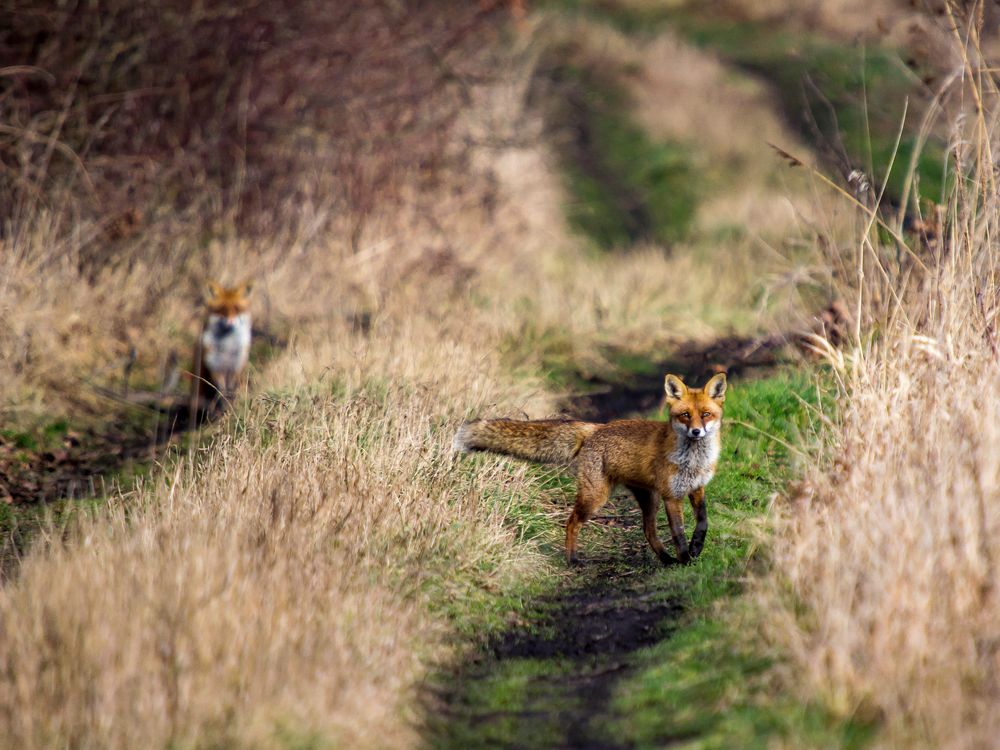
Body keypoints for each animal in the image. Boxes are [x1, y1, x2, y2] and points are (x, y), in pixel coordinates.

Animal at [190, 280, 254, 418]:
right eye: (222, 309)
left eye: (237, 308)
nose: (230, 322)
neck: (227, 348)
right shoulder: (215, 367)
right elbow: (222, 392)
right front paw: (224, 409)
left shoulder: (236, 367)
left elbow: (230, 392)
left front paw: (230, 407)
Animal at [454, 374, 728, 568]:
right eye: (685, 415)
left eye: (706, 414)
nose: (696, 432)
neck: (693, 460)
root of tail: (596, 428)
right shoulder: (672, 496)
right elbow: (678, 533)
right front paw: (686, 559)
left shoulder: (696, 488)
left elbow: (703, 521)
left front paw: (695, 548)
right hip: (596, 497)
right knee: (572, 521)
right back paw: (572, 560)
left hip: (649, 498)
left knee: (648, 531)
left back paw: (665, 560)